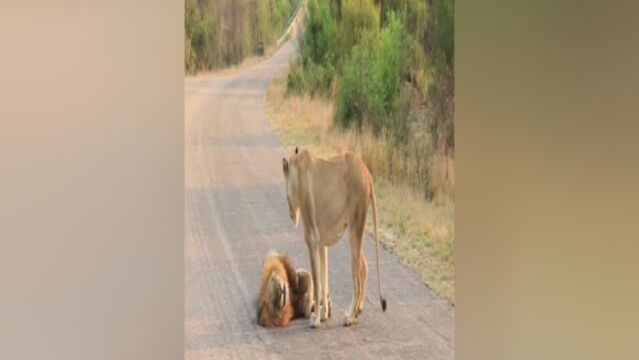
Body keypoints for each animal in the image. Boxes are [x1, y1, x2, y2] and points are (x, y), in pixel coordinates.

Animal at [284, 147, 384, 330]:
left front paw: (316, 320)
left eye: (287, 197)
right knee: (364, 267)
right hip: (354, 231)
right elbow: (324, 279)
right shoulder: (321, 243)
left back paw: (350, 318)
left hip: (355, 225)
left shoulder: (312, 239)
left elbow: (317, 280)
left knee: (357, 280)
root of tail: (367, 173)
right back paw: (356, 312)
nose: (291, 215)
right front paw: (324, 314)